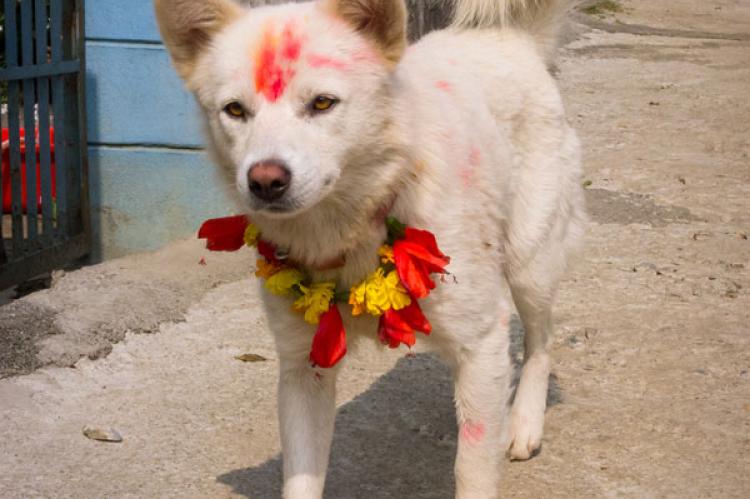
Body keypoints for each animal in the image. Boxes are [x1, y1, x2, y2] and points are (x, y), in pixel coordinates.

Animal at [154, 0, 588, 496]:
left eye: (323, 103)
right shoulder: (303, 368)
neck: (352, 228)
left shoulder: (481, 343)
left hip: (529, 261)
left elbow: (472, 469)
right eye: (235, 110)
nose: (264, 180)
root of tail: (509, 39)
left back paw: (523, 424)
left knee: (541, 339)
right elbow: (301, 476)